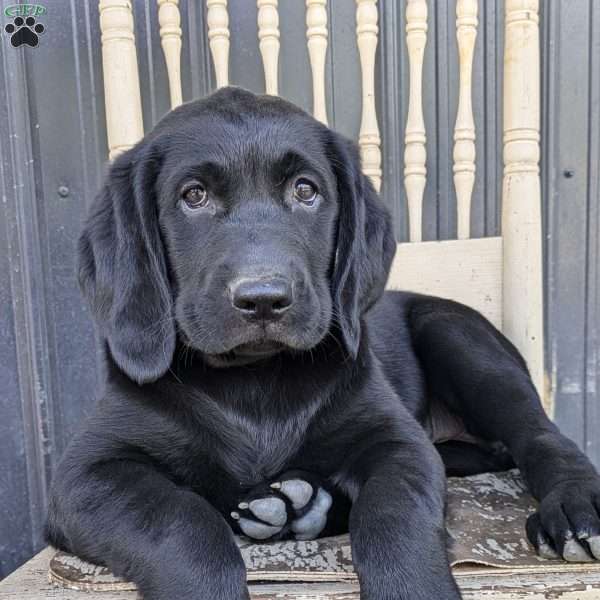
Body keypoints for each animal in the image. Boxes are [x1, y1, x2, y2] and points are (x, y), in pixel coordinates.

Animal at [47, 86, 600, 596]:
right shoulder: (84, 478)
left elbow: (393, 520)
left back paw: (575, 507)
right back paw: (297, 504)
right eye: (193, 196)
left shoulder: (400, 445)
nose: (264, 299)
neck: (254, 380)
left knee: (539, 435)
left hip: (457, 337)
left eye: (305, 190)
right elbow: (181, 520)